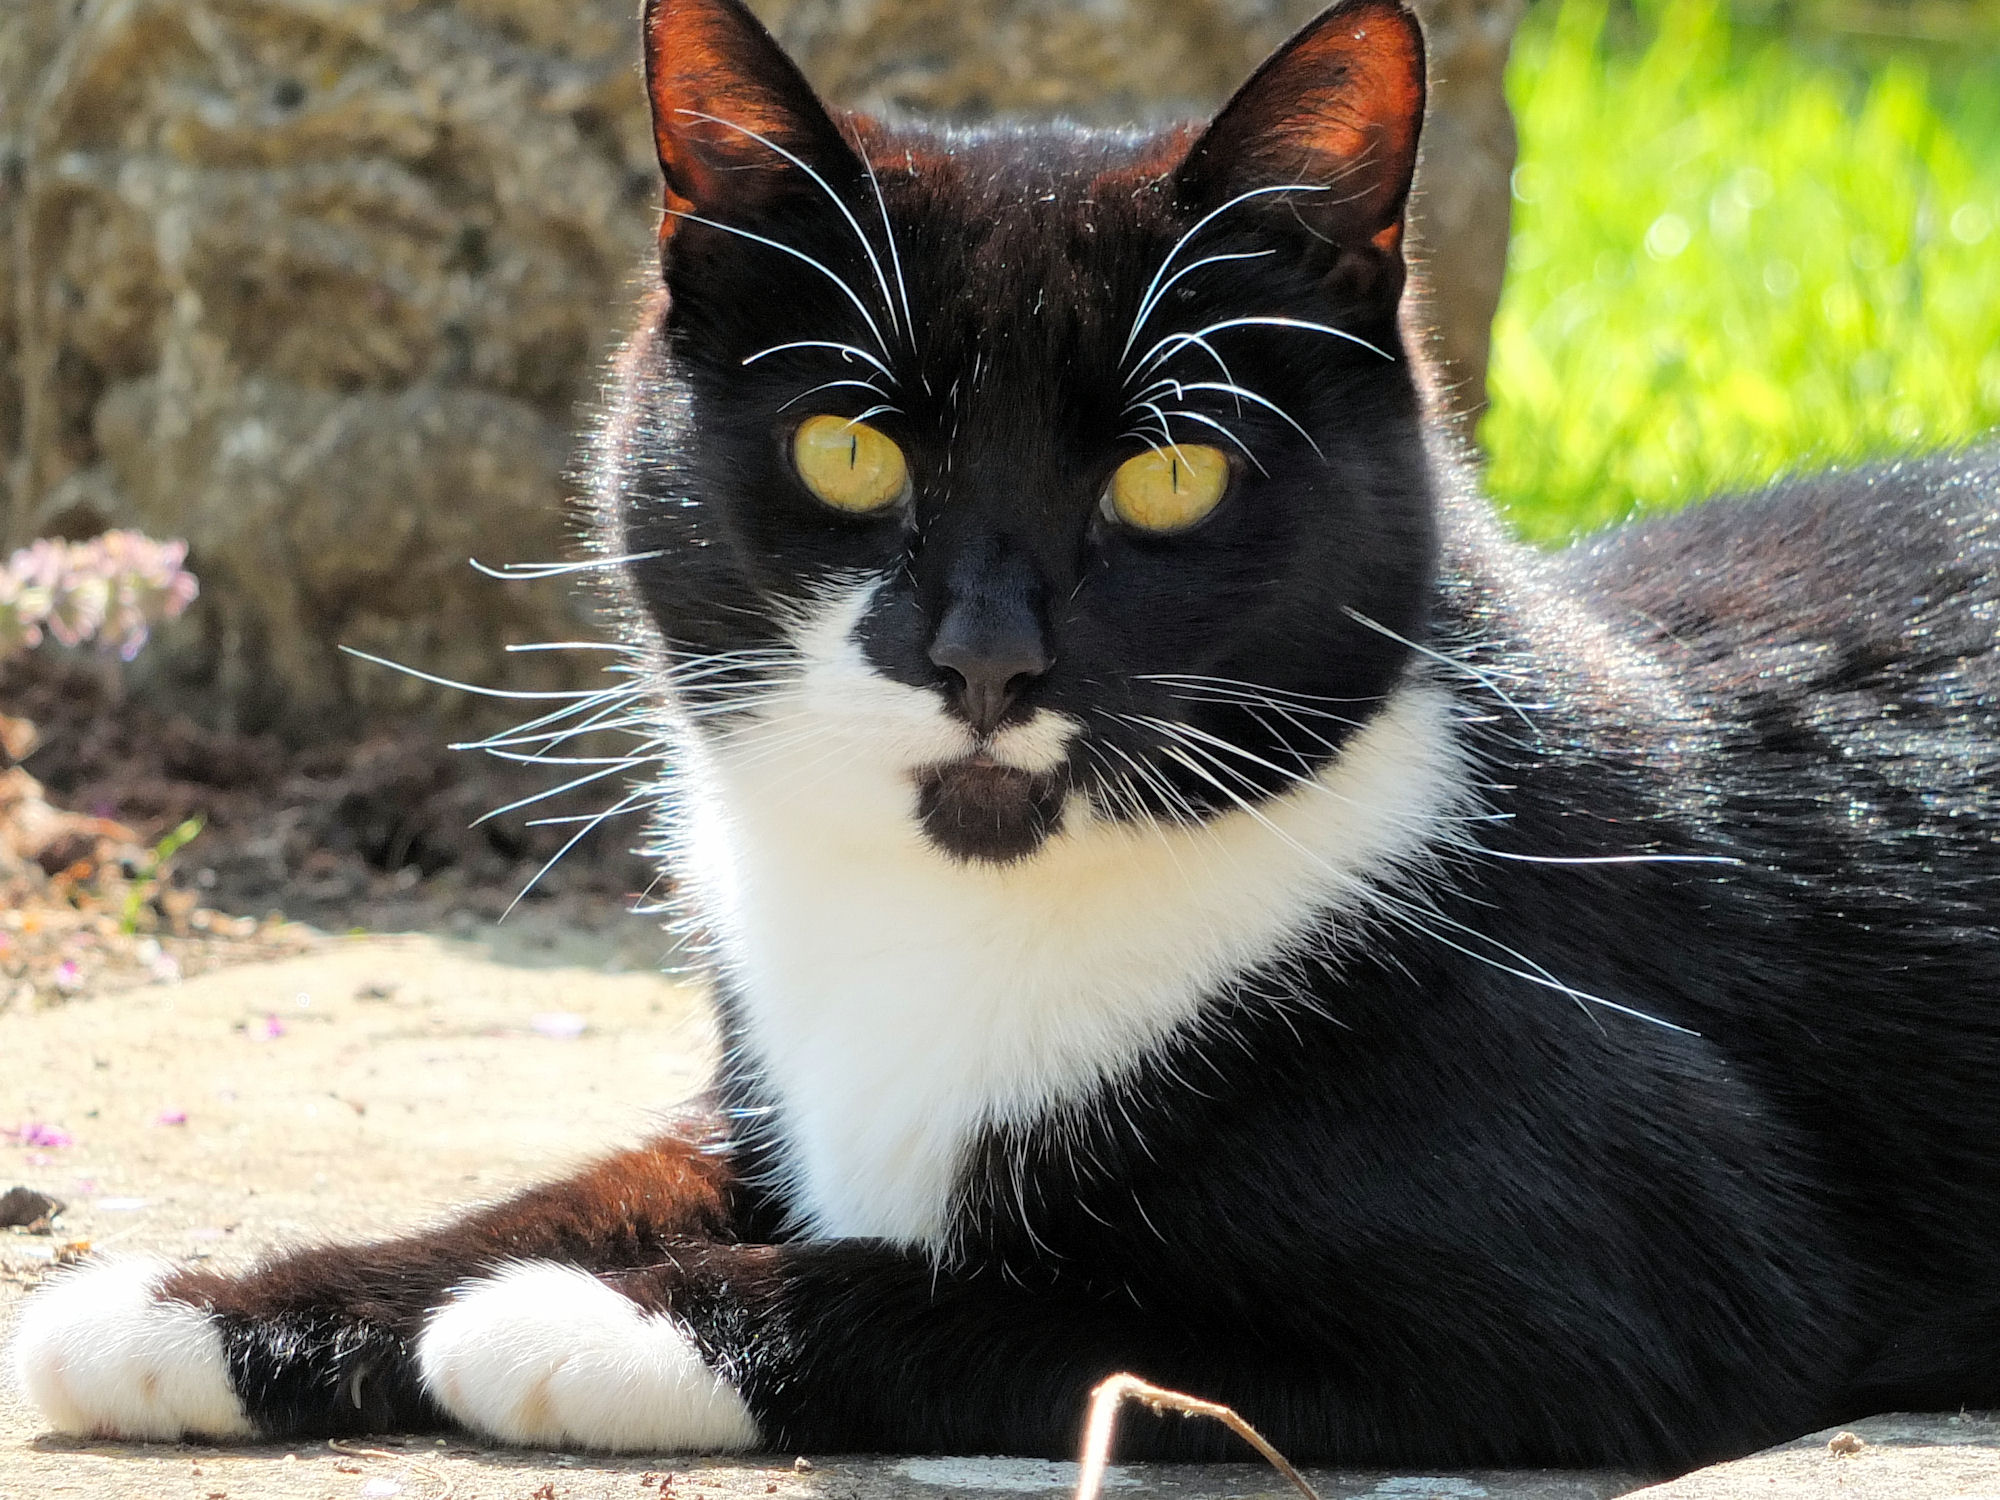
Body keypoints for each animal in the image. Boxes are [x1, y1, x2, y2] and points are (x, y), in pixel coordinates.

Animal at [15, 0, 2000, 1472]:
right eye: (847, 451)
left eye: (1169, 475)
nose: (981, 658)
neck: (957, 918)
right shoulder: (765, 1100)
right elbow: (571, 1190)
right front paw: (201, 1309)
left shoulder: (1617, 1283)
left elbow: (1042, 1303)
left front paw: (592, 1326)